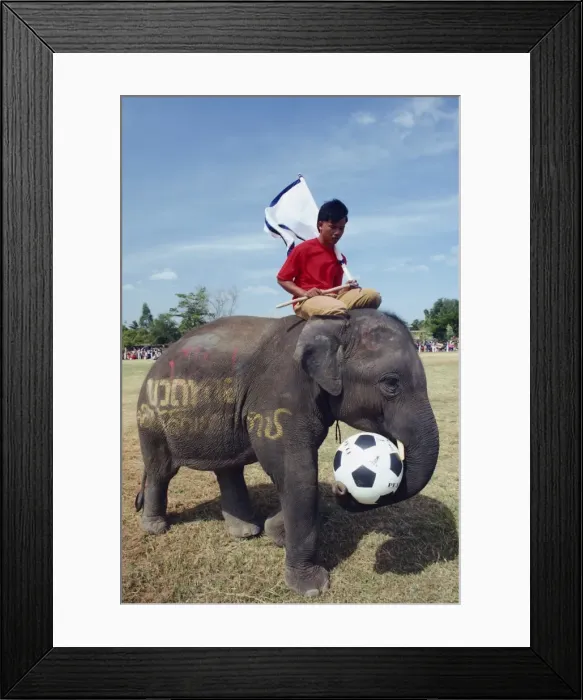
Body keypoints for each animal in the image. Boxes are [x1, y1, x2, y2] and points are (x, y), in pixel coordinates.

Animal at [134, 309, 439, 597]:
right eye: (391, 383)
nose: (341, 488)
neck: (333, 321)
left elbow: (297, 476)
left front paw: (274, 532)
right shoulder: (277, 399)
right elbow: (298, 473)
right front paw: (312, 587)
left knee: (228, 469)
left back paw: (246, 531)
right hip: (150, 417)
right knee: (161, 469)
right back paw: (156, 527)